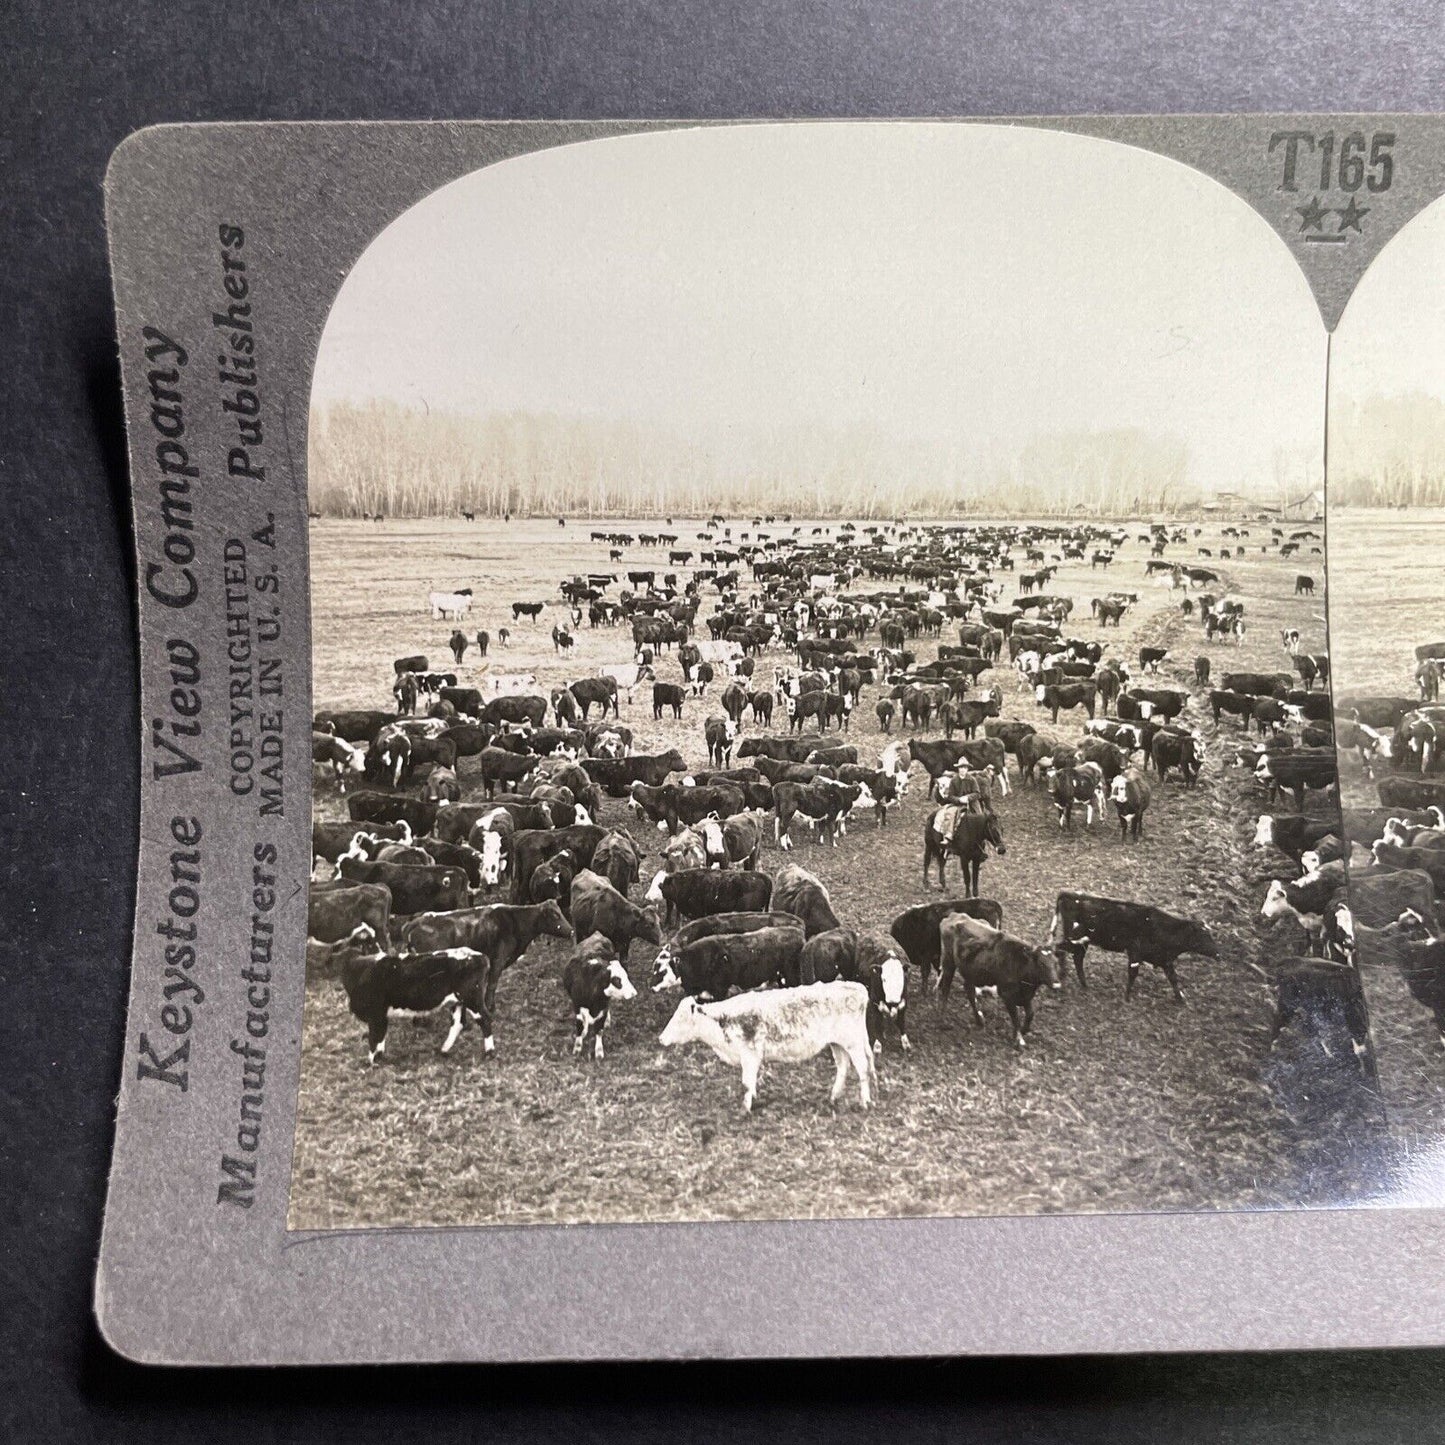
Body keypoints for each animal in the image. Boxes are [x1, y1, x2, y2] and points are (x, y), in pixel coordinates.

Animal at [338, 947, 497, 1063]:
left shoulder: (376, 1015)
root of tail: (479, 955)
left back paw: (489, 1053)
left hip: (472, 999)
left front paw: (371, 1062)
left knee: (485, 1019)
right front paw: (379, 1056)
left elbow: (374, 1038)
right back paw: (444, 1050)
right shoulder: (381, 1016)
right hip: (458, 1002)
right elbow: (380, 1036)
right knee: (458, 1023)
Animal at [661, 988, 872, 1109]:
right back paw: (833, 1097)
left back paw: (865, 1102)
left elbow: (746, 1082)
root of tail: (856, 987)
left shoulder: (749, 1055)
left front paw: (745, 1108)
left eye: (680, 1019)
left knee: (863, 1069)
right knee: (843, 1067)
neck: (723, 1021)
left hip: (853, 1043)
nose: (661, 1038)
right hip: (837, 1043)